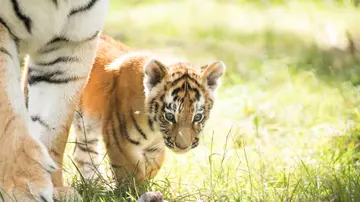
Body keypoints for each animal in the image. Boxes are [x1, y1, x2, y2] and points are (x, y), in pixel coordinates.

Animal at [68, 34, 225, 183]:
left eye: (198, 117)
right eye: (169, 116)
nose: (183, 147)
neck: (155, 128)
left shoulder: (155, 147)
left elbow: (153, 166)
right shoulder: (118, 139)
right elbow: (130, 172)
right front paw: (133, 190)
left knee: (82, 152)